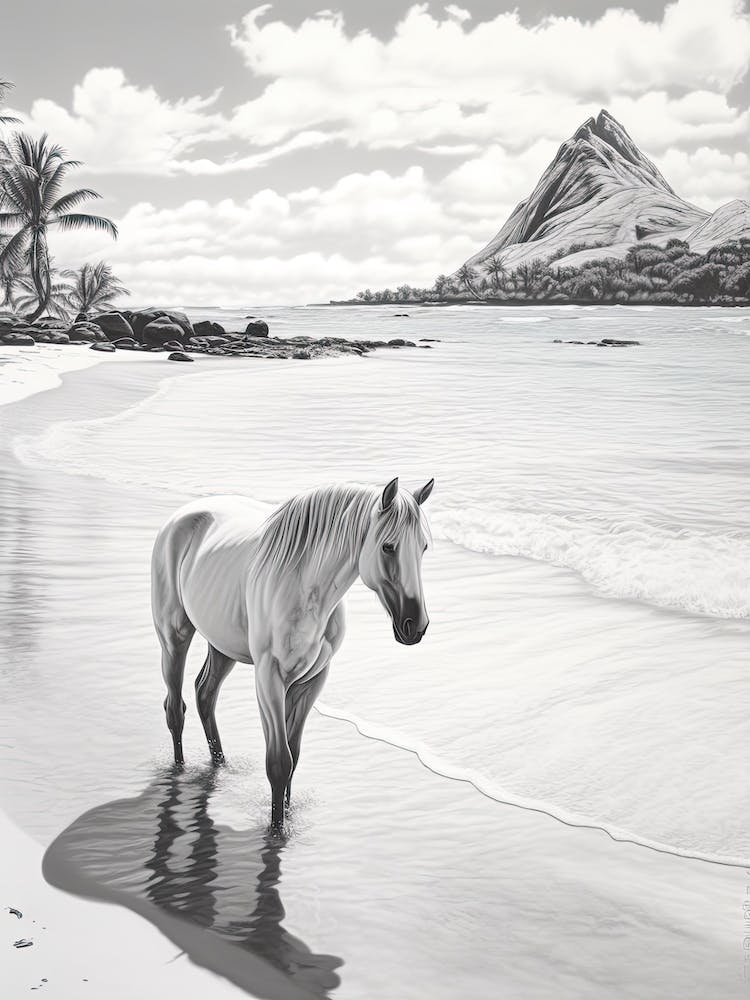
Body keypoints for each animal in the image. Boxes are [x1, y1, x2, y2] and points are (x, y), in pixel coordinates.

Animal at [151, 477, 434, 829]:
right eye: (388, 547)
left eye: (423, 547)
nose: (415, 626)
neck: (305, 590)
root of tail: (180, 517)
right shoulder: (269, 680)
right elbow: (278, 762)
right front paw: (276, 829)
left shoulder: (311, 681)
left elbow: (293, 757)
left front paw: (286, 815)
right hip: (173, 638)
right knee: (175, 708)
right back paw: (179, 772)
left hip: (222, 645)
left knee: (205, 694)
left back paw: (220, 765)